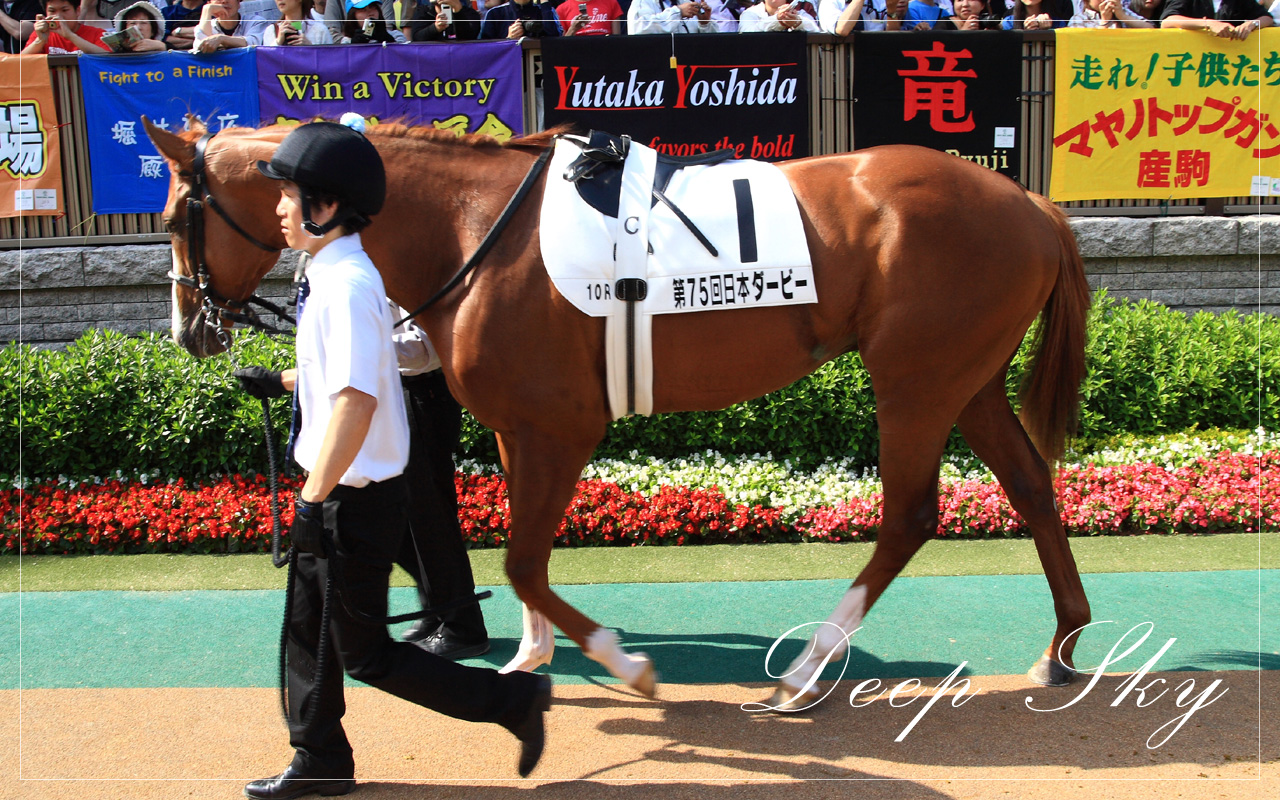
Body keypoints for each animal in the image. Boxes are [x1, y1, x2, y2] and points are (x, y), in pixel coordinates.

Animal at [147, 118, 1090, 706]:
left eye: (177, 216)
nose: (189, 328)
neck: (471, 230)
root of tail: (1032, 202)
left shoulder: (563, 427)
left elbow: (525, 561)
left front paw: (623, 664)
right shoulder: (519, 425)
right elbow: (518, 550)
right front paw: (527, 656)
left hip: (916, 382)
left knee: (909, 516)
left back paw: (803, 673)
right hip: (969, 381)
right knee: (1032, 486)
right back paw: (1061, 649)